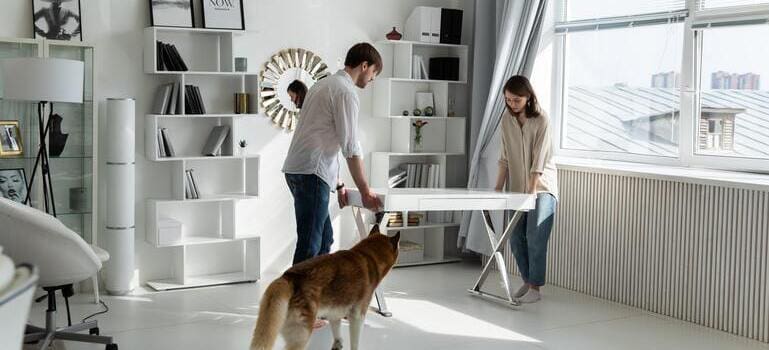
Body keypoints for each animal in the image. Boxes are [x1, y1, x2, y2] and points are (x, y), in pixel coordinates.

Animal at [250, 226, 402, 348]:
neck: (367, 256)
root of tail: (289, 277)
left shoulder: (334, 313)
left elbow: (337, 334)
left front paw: (338, 345)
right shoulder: (358, 316)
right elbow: (355, 343)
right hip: (302, 336)